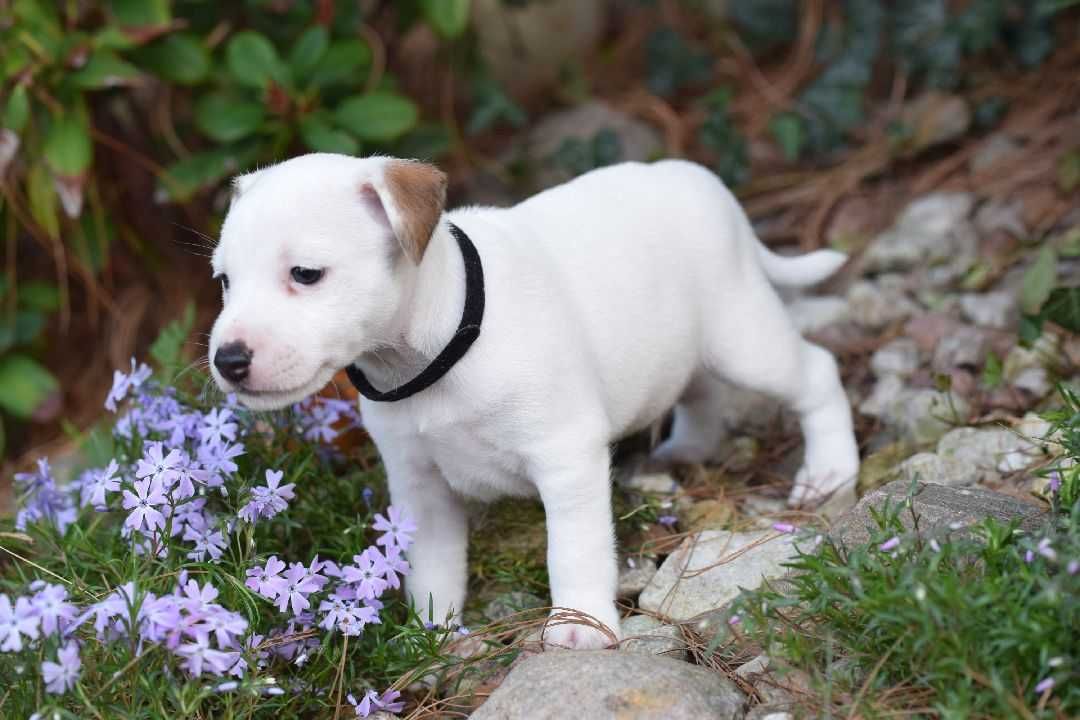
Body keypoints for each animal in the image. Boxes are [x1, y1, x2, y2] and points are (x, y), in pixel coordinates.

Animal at [206, 155, 855, 651]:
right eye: (224, 282)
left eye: (306, 273)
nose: (228, 360)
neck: (434, 354)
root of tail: (702, 180)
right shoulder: (421, 490)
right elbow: (433, 569)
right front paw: (432, 635)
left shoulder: (566, 459)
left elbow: (574, 550)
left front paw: (579, 627)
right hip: (686, 346)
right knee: (699, 391)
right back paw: (686, 448)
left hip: (741, 337)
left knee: (816, 372)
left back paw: (829, 471)